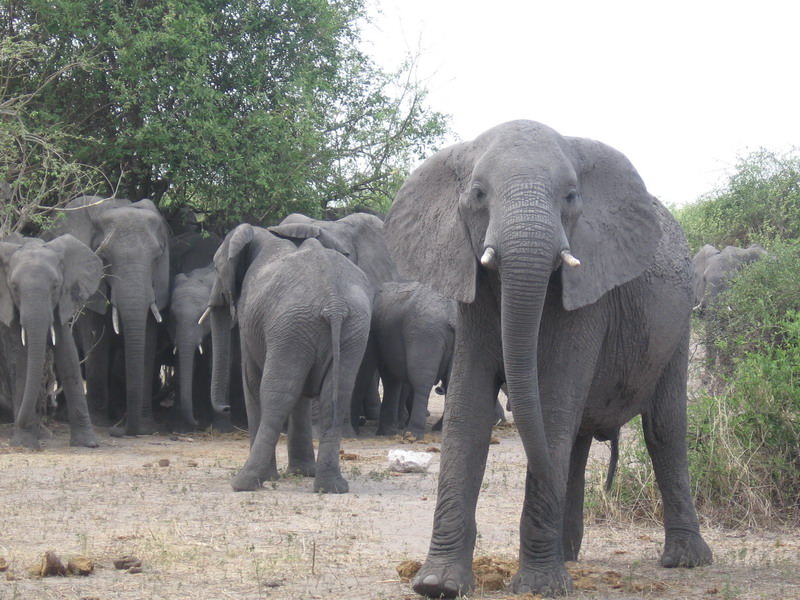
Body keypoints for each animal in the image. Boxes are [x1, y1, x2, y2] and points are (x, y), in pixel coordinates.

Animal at [0, 233, 103, 446]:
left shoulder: (64, 298)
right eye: (14, 287)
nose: (19, 422)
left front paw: (87, 444)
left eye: (55, 286)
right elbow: (23, 359)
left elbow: (68, 355)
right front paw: (25, 443)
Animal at [49, 197, 171, 436]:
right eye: (104, 257)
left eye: (157, 256)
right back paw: (64, 416)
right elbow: (96, 338)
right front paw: (99, 423)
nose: (121, 430)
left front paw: (146, 427)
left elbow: (148, 338)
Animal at [205, 224, 370, 492]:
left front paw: (276, 476)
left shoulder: (250, 313)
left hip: (290, 324)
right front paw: (302, 473)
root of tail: (333, 302)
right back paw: (331, 487)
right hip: (350, 328)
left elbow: (252, 381)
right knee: (335, 395)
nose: (226, 407)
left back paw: (243, 483)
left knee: (276, 395)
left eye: (216, 267)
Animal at [374, 278, 456, 438]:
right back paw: (439, 428)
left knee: (421, 381)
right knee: (452, 382)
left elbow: (390, 377)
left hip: (425, 333)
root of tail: (451, 315)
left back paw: (412, 434)